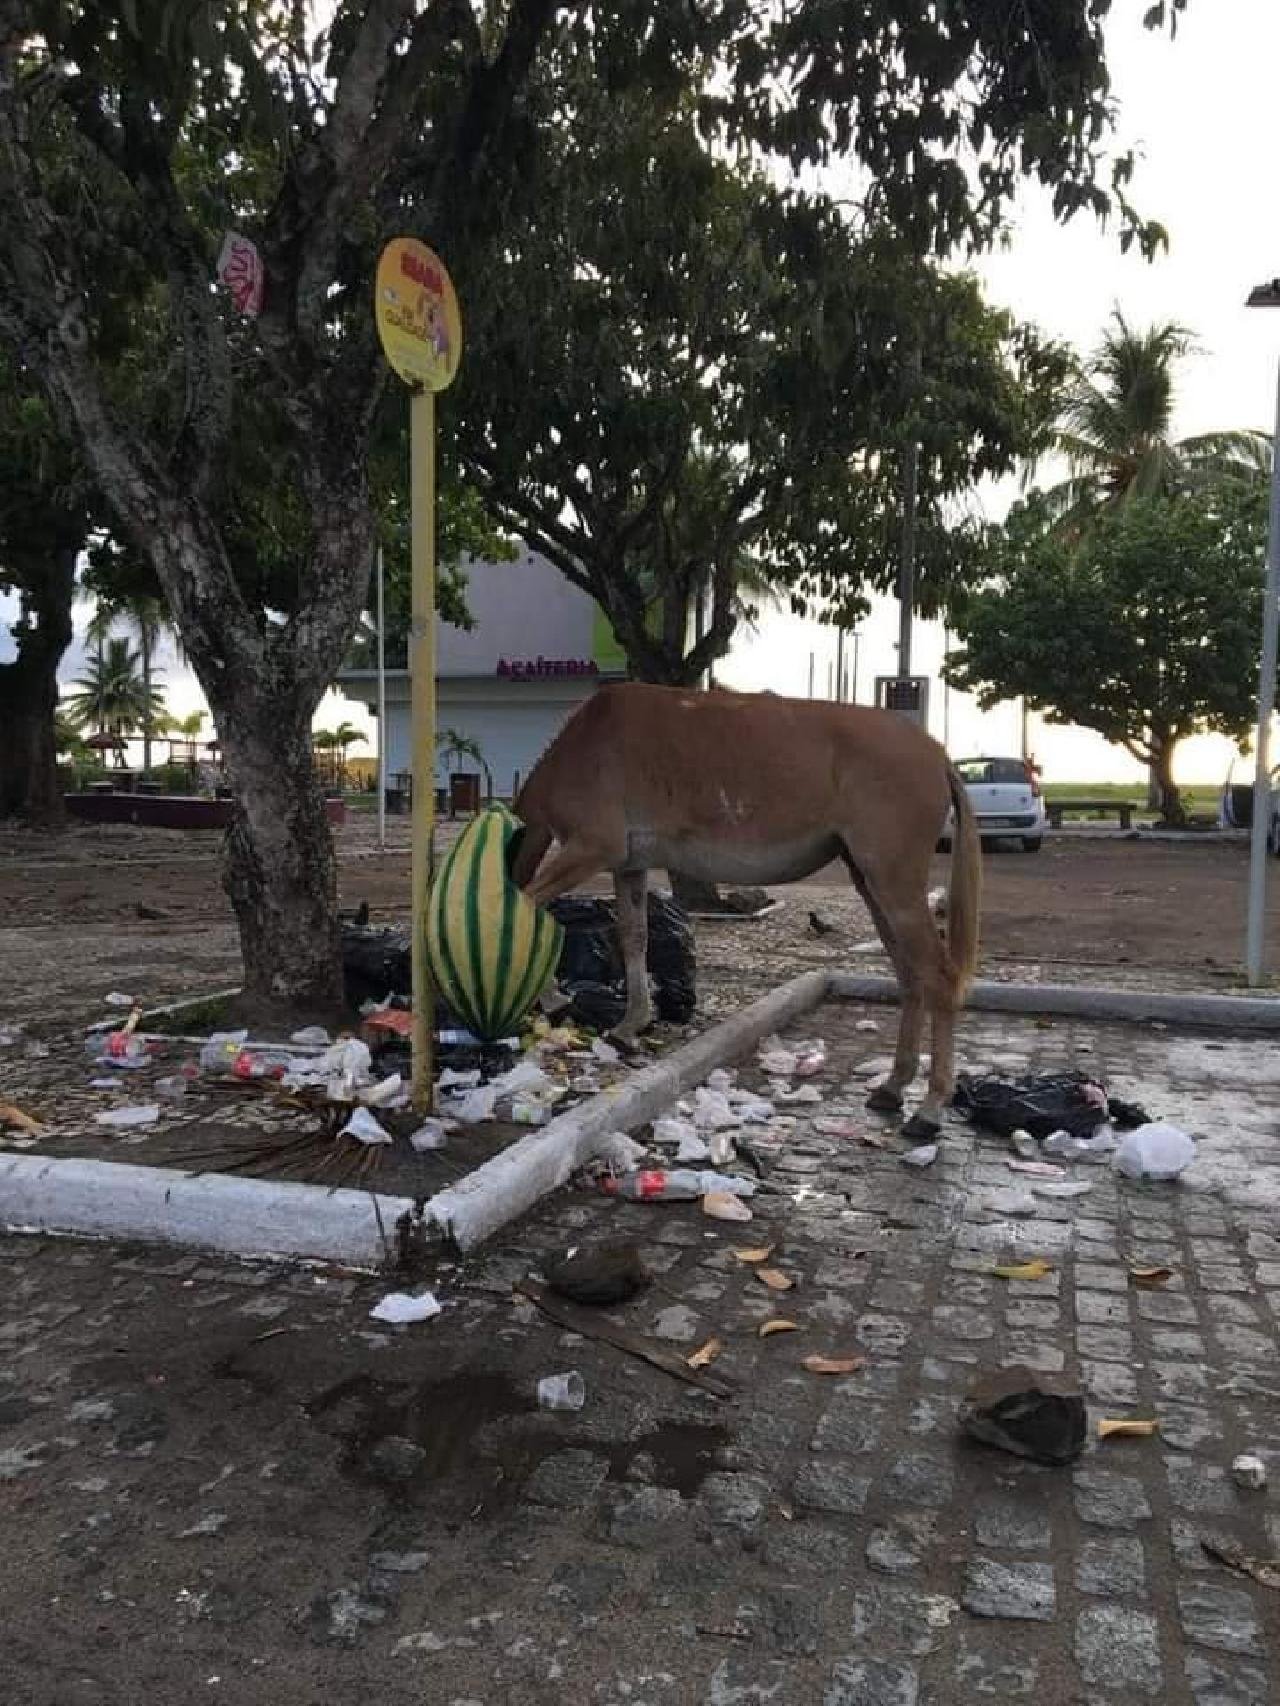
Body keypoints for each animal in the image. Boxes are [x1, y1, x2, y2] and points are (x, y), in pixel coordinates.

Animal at [512, 678, 983, 1132]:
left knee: (937, 976)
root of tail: (936, 754)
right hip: (871, 883)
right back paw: (893, 1086)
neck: (591, 739)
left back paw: (930, 1108)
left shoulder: (591, 849)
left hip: (894, 883)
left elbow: (528, 906)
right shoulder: (628, 867)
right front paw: (629, 1025)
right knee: (911, 976)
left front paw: (553, 999)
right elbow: (633, 938)